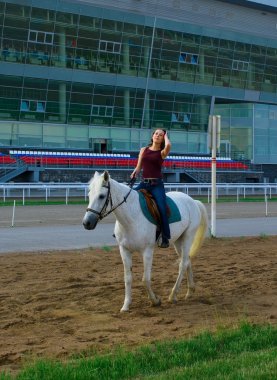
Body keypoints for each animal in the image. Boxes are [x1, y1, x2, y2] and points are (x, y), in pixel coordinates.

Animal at [82, 171, 207, 310]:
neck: (132, 216)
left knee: (183, 264)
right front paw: (126, 305)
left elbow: (145, 279)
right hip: (178, 241)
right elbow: (128, 278)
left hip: (187, 237)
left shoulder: (147, 251)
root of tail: (193, 201)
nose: (87, 223)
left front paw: (155, 301)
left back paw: (173, 295)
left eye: (101, 196)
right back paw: (190, 291)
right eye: (89, 195)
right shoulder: (124, 250)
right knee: (187, 260)